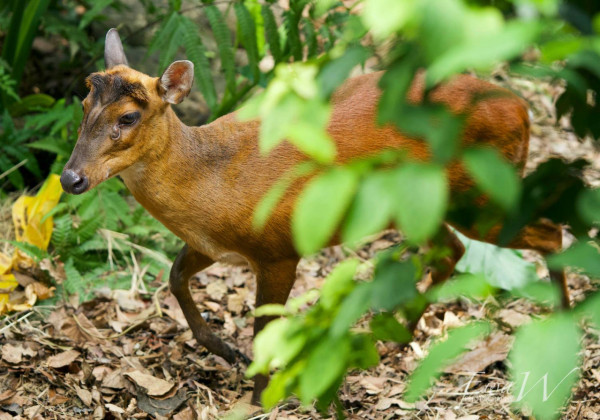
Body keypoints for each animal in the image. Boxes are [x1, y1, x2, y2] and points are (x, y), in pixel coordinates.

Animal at [61, 28, 568, 404]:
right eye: (83, 104)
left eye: (128, 117)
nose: (70, 178)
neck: (213, 181)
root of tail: (523, 110)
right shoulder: (216, 244)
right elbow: (175, 276)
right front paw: (227, 350)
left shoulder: (278, 248)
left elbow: (265, 327)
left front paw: (257, 399)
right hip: (422, 204)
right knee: (455, 249)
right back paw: (395, 340)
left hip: (482, 195)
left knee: (550, 232)